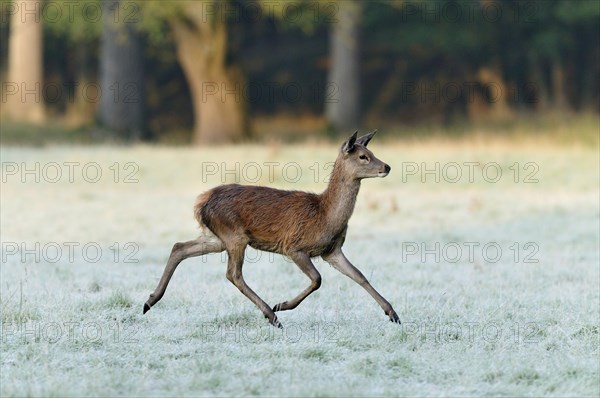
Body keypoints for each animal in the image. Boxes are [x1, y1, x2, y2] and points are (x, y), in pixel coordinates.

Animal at [143, 131, 400, 326]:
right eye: (363, 156)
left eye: (372, 153)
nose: (387, 166)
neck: (325, 216)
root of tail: (200, 202)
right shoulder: (294, 246)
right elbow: (317, 279)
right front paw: (283, 305)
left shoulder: (332, 251)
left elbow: (360, 276)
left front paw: (392, 313)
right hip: (234, 234)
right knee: (233, 274)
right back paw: (271, 314)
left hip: (217, 238)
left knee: (179, 247)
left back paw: (149, 301)